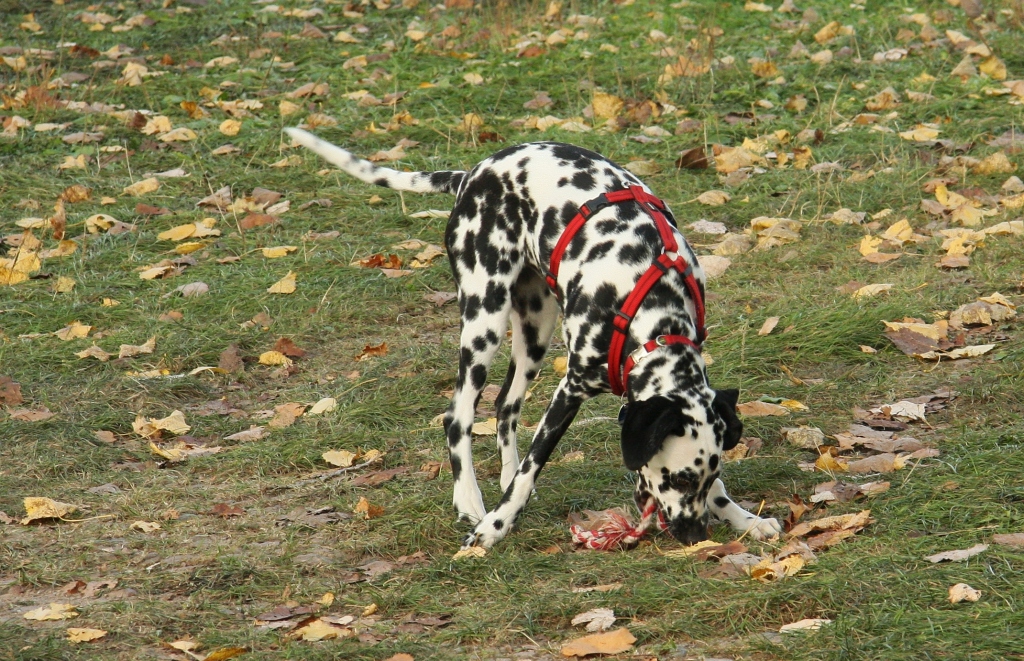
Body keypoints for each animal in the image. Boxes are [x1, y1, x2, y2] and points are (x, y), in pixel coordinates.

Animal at [284, 128, 778, 548]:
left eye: (707, 478)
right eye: (679, 479)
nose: (696, 536)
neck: (652, 317)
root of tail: (473, 174)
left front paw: (743, 517)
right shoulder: (569, 390)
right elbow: (531, 467)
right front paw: (495, 527)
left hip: (534, 336)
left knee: (506, 406)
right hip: (483, 320)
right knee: (459, 416)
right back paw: (471, 501)